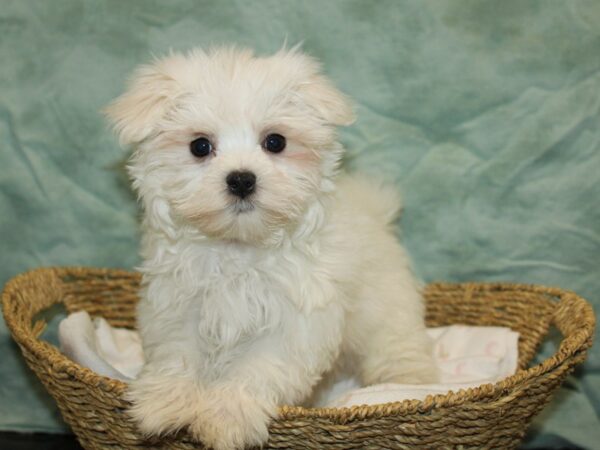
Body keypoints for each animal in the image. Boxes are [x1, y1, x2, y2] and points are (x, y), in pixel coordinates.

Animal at [106, 46, 436, 450]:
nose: (241, 180)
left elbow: (257, 368)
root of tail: (376, 213)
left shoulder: (294, 321)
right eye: (200, 146)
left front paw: (227, 415)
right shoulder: (178, 307)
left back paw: (410, 384)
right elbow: (177, 354)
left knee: (397, 346)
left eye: (275, 142)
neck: (240, 247)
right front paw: (164, 401)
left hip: (387, 309)